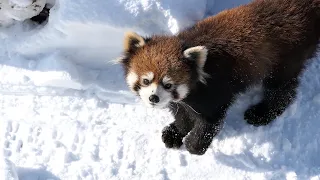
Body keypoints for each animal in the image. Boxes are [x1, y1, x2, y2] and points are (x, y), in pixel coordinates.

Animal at [117, 0, 320, 155]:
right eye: (146, 80)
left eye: (168, 85)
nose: (154, 98)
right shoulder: (185, 101)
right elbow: (182, 115)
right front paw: (175, 132)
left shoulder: (216, 90)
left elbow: (210, 122)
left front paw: (194, 145)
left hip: (284, 58)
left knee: (282, 89)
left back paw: (261, 113)